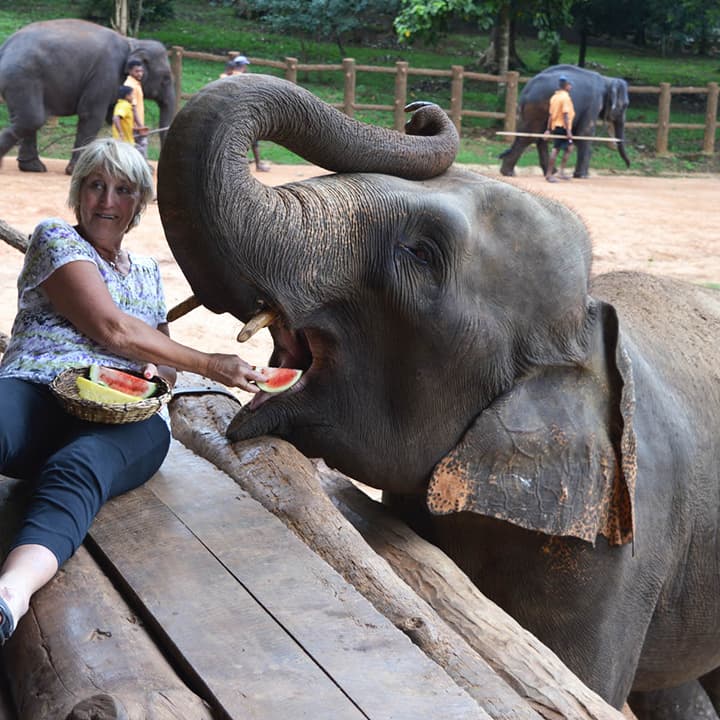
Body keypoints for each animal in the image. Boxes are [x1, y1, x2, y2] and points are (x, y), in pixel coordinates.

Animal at [0, 19, 175, 174]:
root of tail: (5, 46)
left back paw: (33, 167)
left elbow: (113, 117)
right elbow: (91, 115)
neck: (132, 43)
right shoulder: (104, 74)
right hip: (23, 76)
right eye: (166, 78)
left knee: (27, 120)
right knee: (32, 119)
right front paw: (75, 170)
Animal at [499, 64, 631, 178]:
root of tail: (526, 90)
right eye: (625, 105)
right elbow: (585, 133)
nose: (628, 166)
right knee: (529, 137)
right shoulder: (593, 103)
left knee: (538, 136)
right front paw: (582, 176)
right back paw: (509, 173)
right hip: (537, 107)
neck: (607, 80)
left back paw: (549, 172)